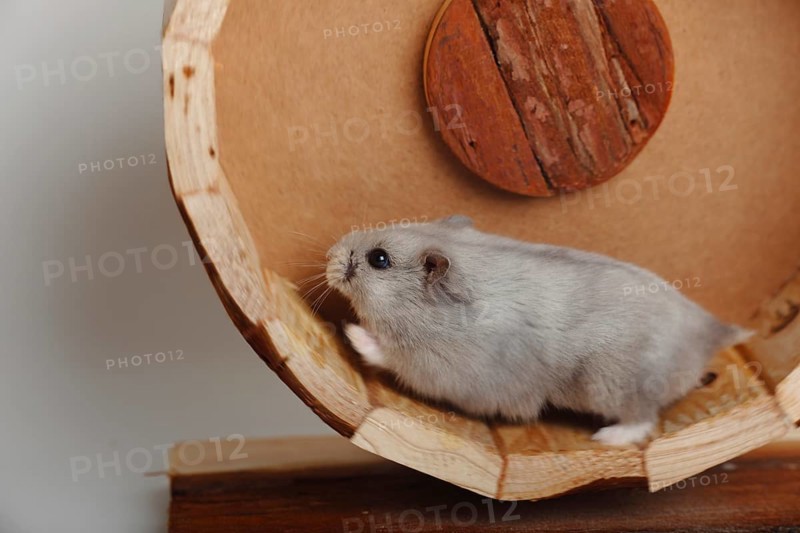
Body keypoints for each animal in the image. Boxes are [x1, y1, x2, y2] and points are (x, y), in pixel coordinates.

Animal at [325, 215, 753, 446]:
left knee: (643, 417)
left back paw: (606, 438)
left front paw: (351, 331)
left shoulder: (439, 370)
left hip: (611, 383)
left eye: (379, 259)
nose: (329, 254)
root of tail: (712, 331)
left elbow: (389, 355)